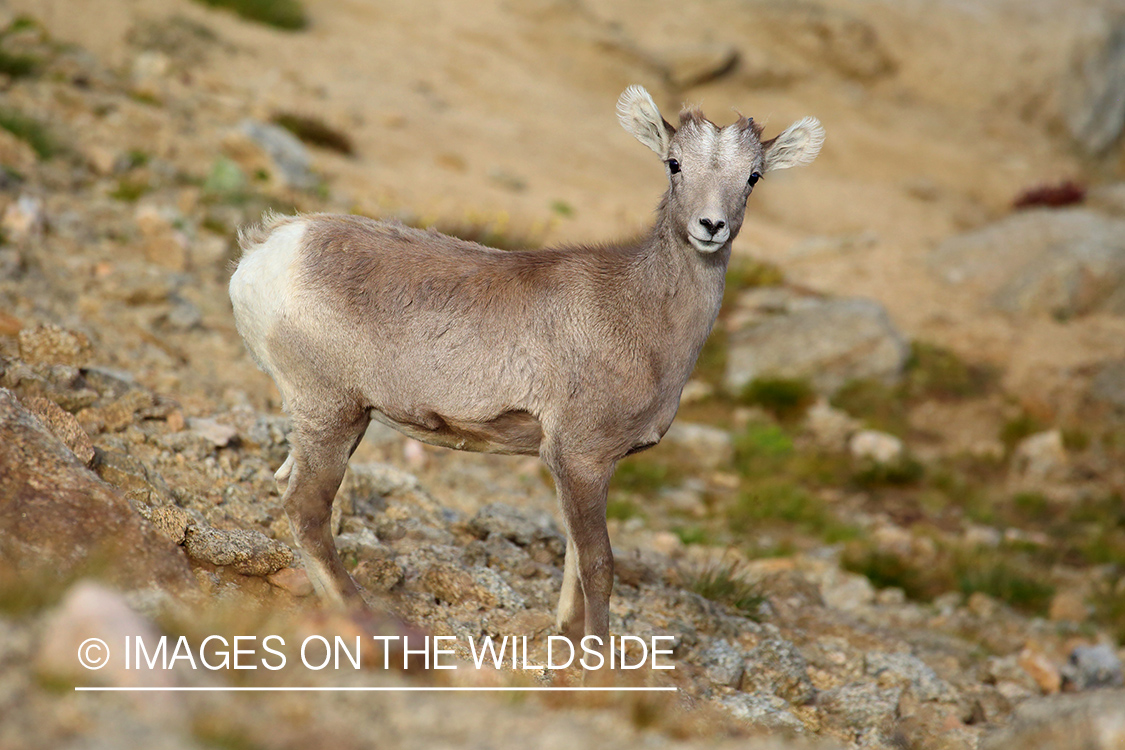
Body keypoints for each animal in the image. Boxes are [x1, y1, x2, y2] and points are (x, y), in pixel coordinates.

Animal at [230, 86, 828, 652]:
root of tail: (267, 251)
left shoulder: (589, 468)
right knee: (307, 508)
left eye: (752, 177)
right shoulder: (580, 458)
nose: (711, 226)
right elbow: (598, 567)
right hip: (333, 414)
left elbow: (572, 559)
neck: (641, 315)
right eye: (674, 163)